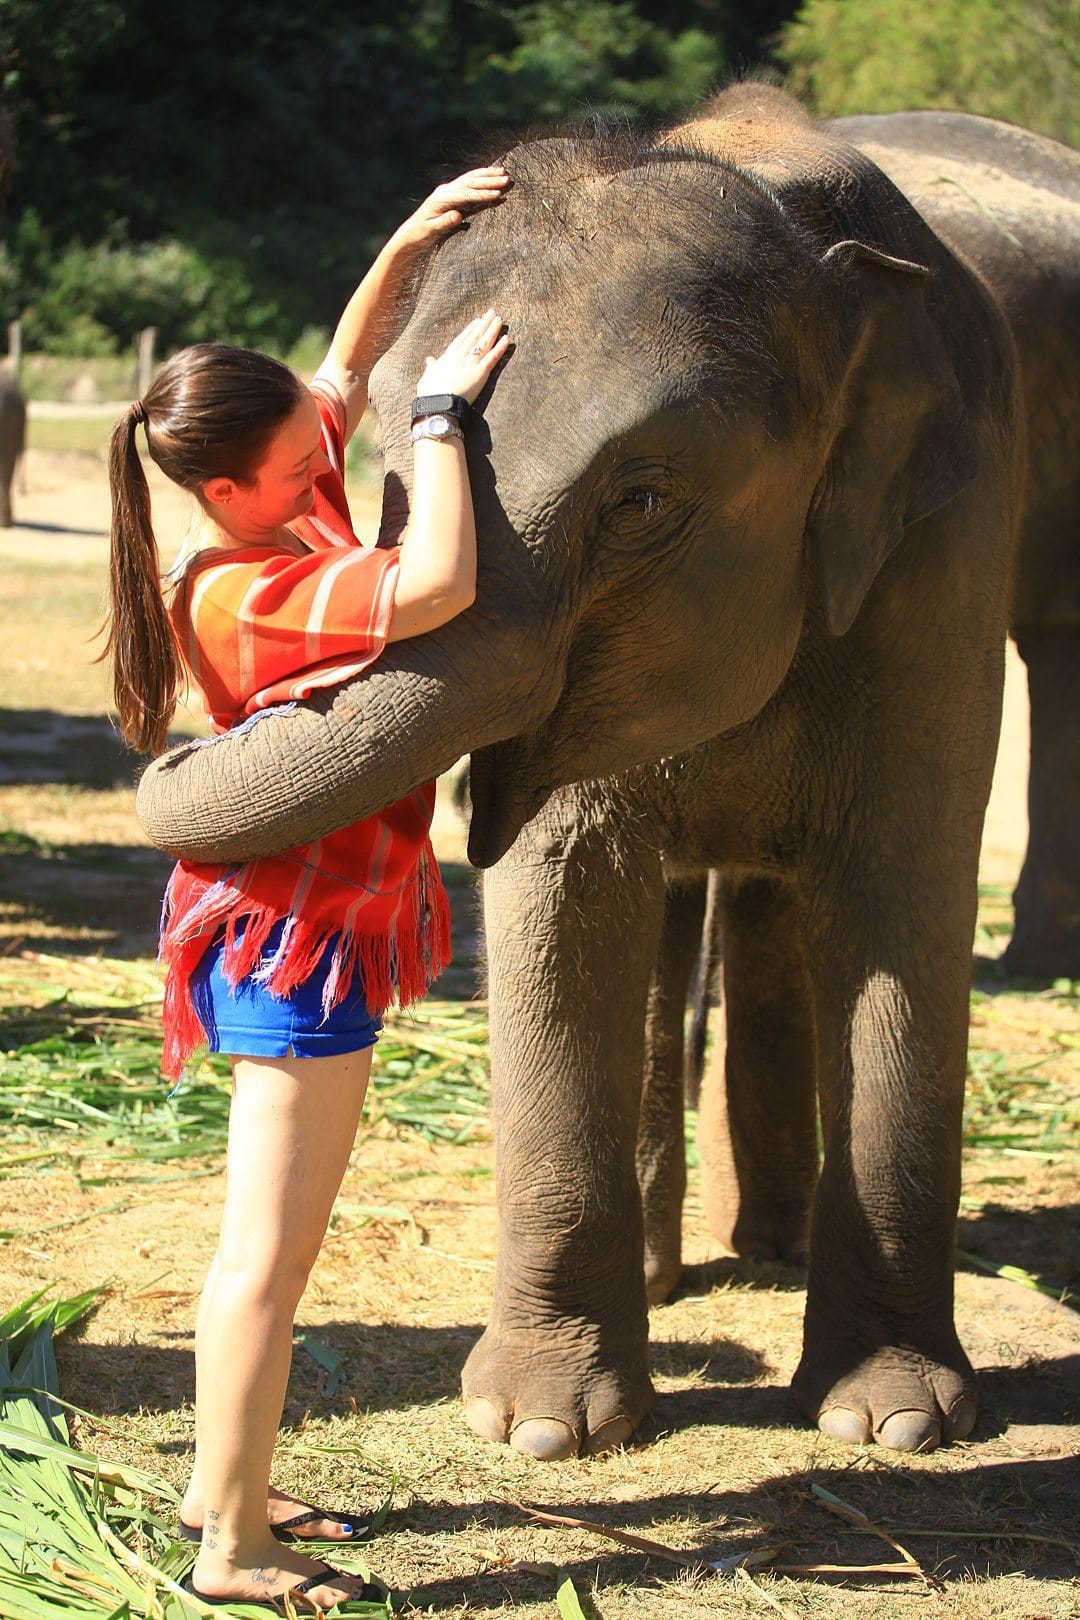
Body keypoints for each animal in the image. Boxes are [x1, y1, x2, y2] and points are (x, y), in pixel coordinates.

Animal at [132, 85, 1075, 1458]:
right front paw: (539, 1432)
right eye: (377, 475)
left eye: (639, 502)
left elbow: (902, 898)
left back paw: (771, 1254)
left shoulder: (944, 543)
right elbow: (568, 889)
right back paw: (687, 1271)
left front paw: (895, 1426)